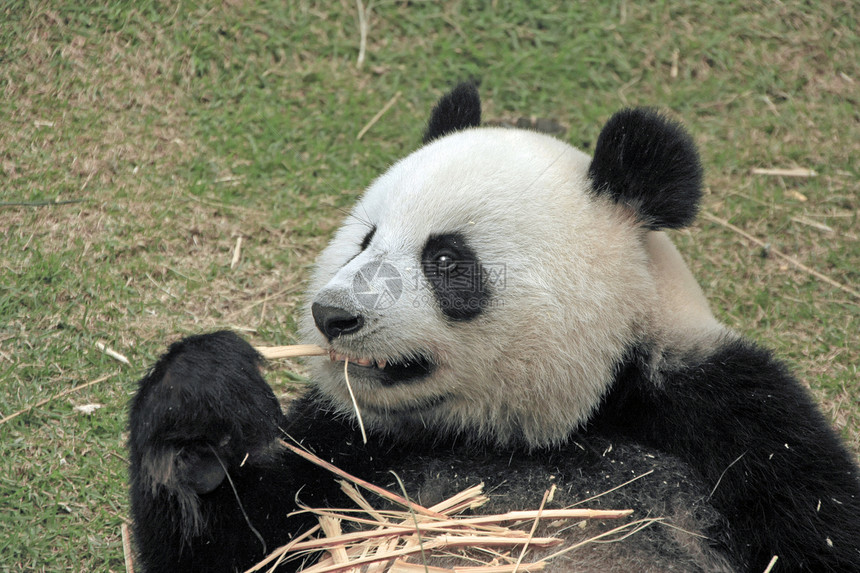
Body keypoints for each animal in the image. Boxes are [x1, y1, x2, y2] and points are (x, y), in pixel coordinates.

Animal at [127, 84, 860, 572]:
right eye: (365, 239)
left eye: (447, 259)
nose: (332, 316)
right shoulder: (350, 444)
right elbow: (245, 547)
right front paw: (201, 402)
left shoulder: (730, 416)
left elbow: (819, 527)